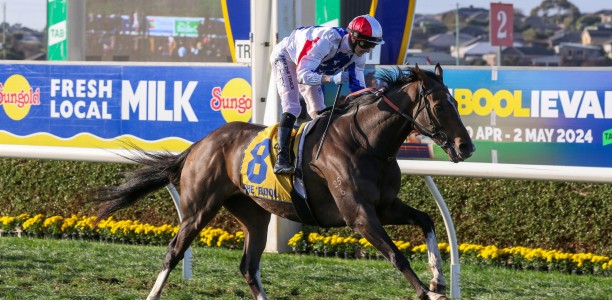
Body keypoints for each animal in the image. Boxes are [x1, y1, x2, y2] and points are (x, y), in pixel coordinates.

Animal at [92, 63, 474, 300]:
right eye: (440, 106)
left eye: (456, 102)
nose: (465, 146)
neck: (365, 141)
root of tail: (198, 145)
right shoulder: (359, 214)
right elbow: (396, 255)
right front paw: (428, 291)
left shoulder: (385, 205)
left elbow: (426, 220)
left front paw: (439, 278)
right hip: (198, 210)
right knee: (174, 251)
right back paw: (153, 292)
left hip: (254, 214)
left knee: (248, 267)